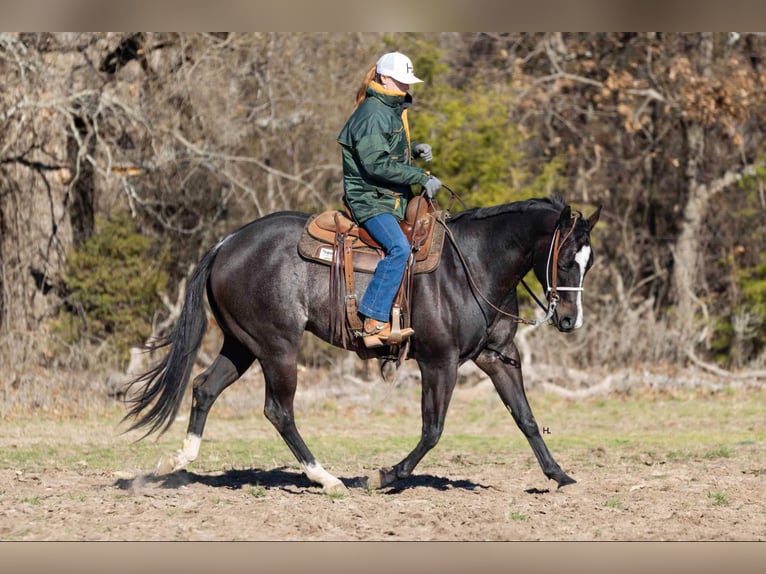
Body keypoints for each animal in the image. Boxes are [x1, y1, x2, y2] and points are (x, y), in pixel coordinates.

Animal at [126, 197, 604, 496]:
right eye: (565, 259)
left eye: (589, 261)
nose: (569, 320)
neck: (473, 264)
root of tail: (227, 243)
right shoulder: (440, 363)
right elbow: (433, 430)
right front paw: (383, 476)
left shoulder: (498, 358)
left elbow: (526, 419)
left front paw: (559, 475)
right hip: (278, 347)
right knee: (279, 411)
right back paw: (327, 480)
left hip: (242, 345)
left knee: (205, 387)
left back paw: (176, 461)